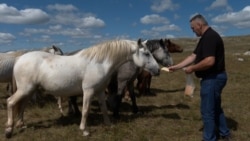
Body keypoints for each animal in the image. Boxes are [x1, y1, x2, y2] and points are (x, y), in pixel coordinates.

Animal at [4, 39, 159, 138]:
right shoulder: (89, 91)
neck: (99, 63)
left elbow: (104, 108)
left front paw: (109, 125)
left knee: (22, 105)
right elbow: (85, 110)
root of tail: (19, 59)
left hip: (30, 90)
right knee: (11, 102)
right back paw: (9, 130)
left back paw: (21, 125)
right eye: (146, 54)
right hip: (25, 89)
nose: (157, 70)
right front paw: (84, 130)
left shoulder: (100, 91)